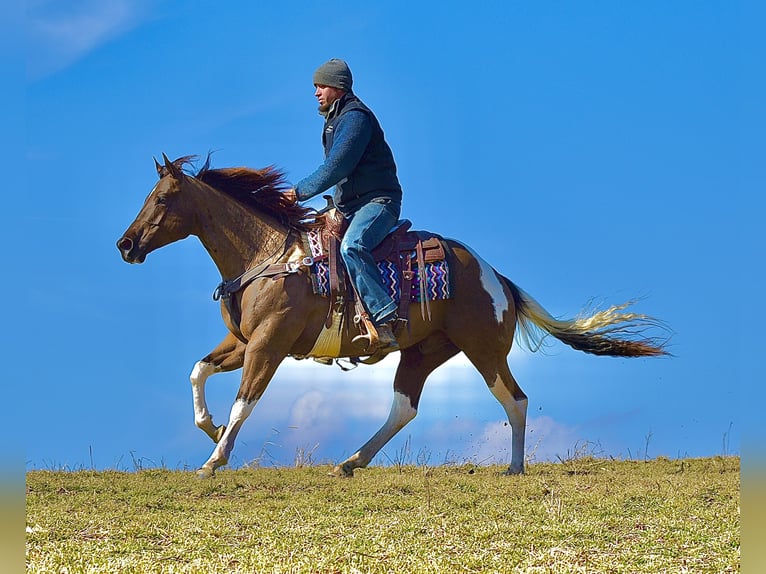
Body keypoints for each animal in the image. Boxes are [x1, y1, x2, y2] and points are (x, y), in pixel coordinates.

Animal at [116, 154, 668, 478]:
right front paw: (210, 431)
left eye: (163, 198)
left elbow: (243, 403)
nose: (126, 244)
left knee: (515, 399)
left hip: (483, 349)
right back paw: (351, 461)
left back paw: (514, 468)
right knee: (404, 408)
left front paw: (214, 459)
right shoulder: (242, 343)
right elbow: (198, 371)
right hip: (424, 352)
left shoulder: (269, 346)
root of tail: (496, 276)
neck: (271, 257)